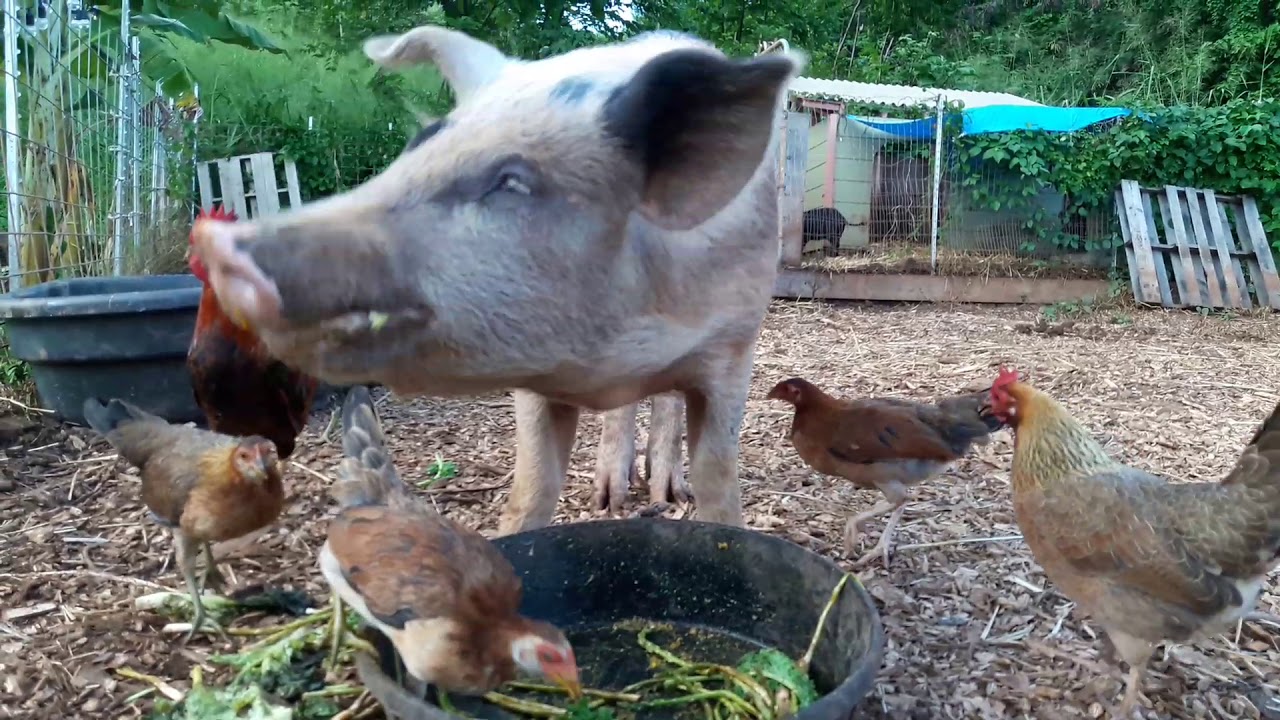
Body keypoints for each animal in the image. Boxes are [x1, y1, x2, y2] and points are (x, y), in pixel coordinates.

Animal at [190, 26, 805, 533]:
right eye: (419, 144)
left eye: (511, 182)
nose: (219, 244)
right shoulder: (532, 380)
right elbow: (533, 485)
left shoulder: (734, 347)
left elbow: (717, 477)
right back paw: (610, 498)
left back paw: (660, 491)